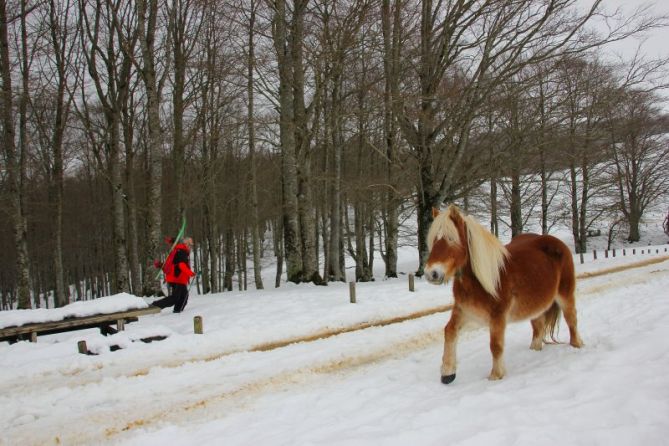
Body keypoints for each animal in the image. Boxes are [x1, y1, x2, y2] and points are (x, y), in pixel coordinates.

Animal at [426, 206, 580, 384]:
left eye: (451, 239)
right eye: (433, 240)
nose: (431, 273)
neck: (485, 279)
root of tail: (558, 243)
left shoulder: (498, 317)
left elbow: (496, 345)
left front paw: (496, 375)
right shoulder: (462, 311)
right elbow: (449, 332)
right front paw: (447, 373)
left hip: (565, 294)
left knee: (571, 319)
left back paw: (576, 346)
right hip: (536, 305)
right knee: (538, 326)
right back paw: (534, 350)